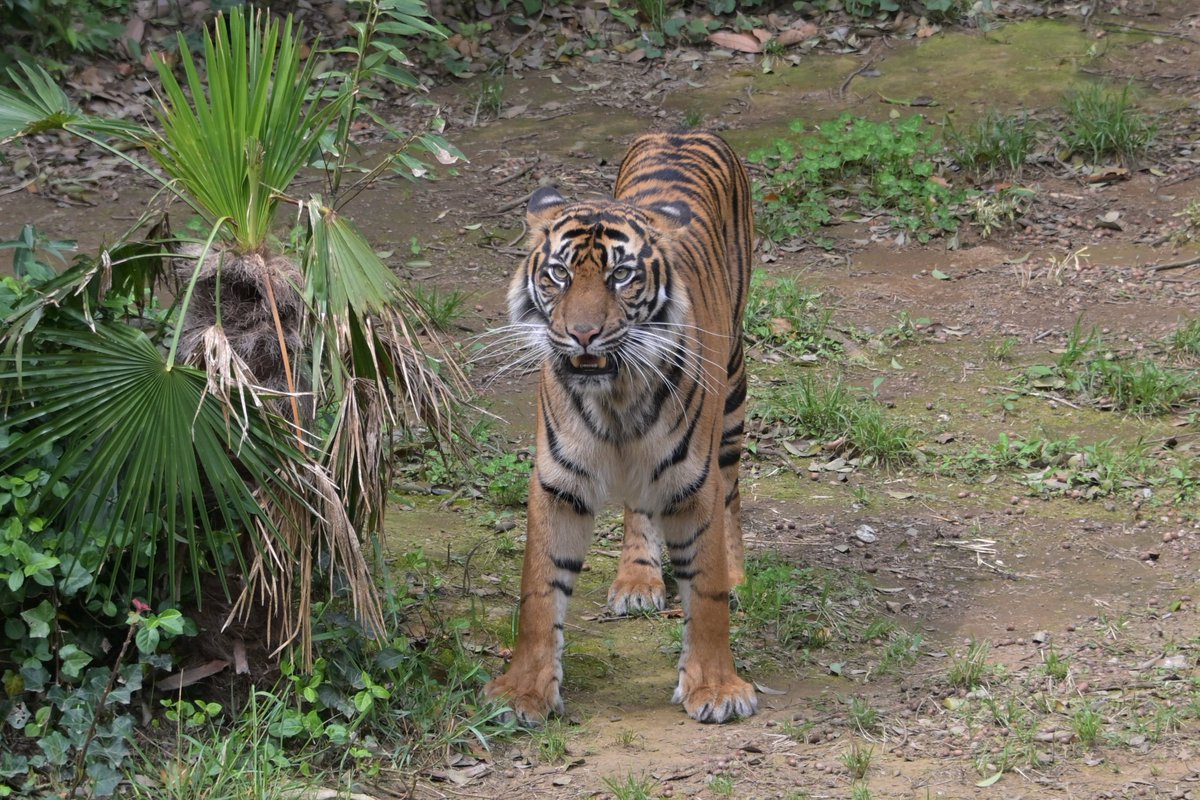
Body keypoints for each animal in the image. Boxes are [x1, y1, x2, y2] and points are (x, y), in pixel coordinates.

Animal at [482, 131, 753, 724]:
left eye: (620, 276)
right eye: (558, 274)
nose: (582, 334)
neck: (617, 398)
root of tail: (682, 130)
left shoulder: (695, 482)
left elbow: (708, 596)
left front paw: (716, 688)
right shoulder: (558, 482)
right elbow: (538, 594)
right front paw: (523, 692)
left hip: (733, 391)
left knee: (733, 487)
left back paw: (738, 574)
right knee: (638, 506)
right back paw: (637, 578)